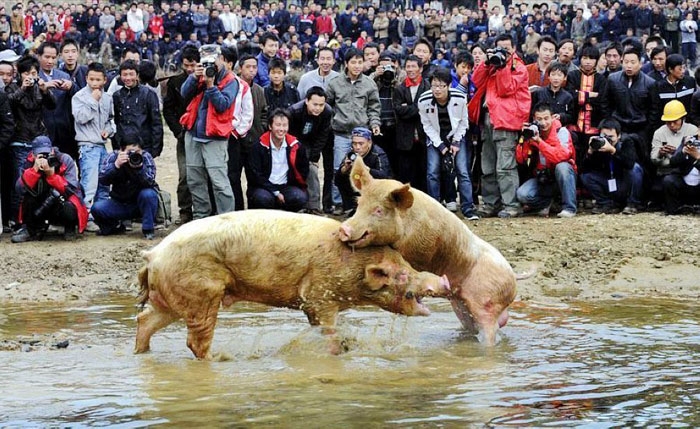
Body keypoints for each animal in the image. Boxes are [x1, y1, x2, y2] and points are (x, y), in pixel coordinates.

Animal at [134, 210, 451, 359]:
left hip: (172, 297)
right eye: (401, 274)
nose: (443, 280)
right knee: (195, 340)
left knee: (145, 319)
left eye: (406, 263)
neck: (354, 267)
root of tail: (152, 255)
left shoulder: (314, 303)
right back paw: (221, 359)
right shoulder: (320, 295)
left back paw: (142, 354)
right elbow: (327, 328)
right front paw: (336, 350)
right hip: (201, 293)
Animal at [338, 157, 517, 346]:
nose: (344, 229)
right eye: (358, 205)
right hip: (462, 308)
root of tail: (513, 279)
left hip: (487, 304)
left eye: (378, 210)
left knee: (490, 332)